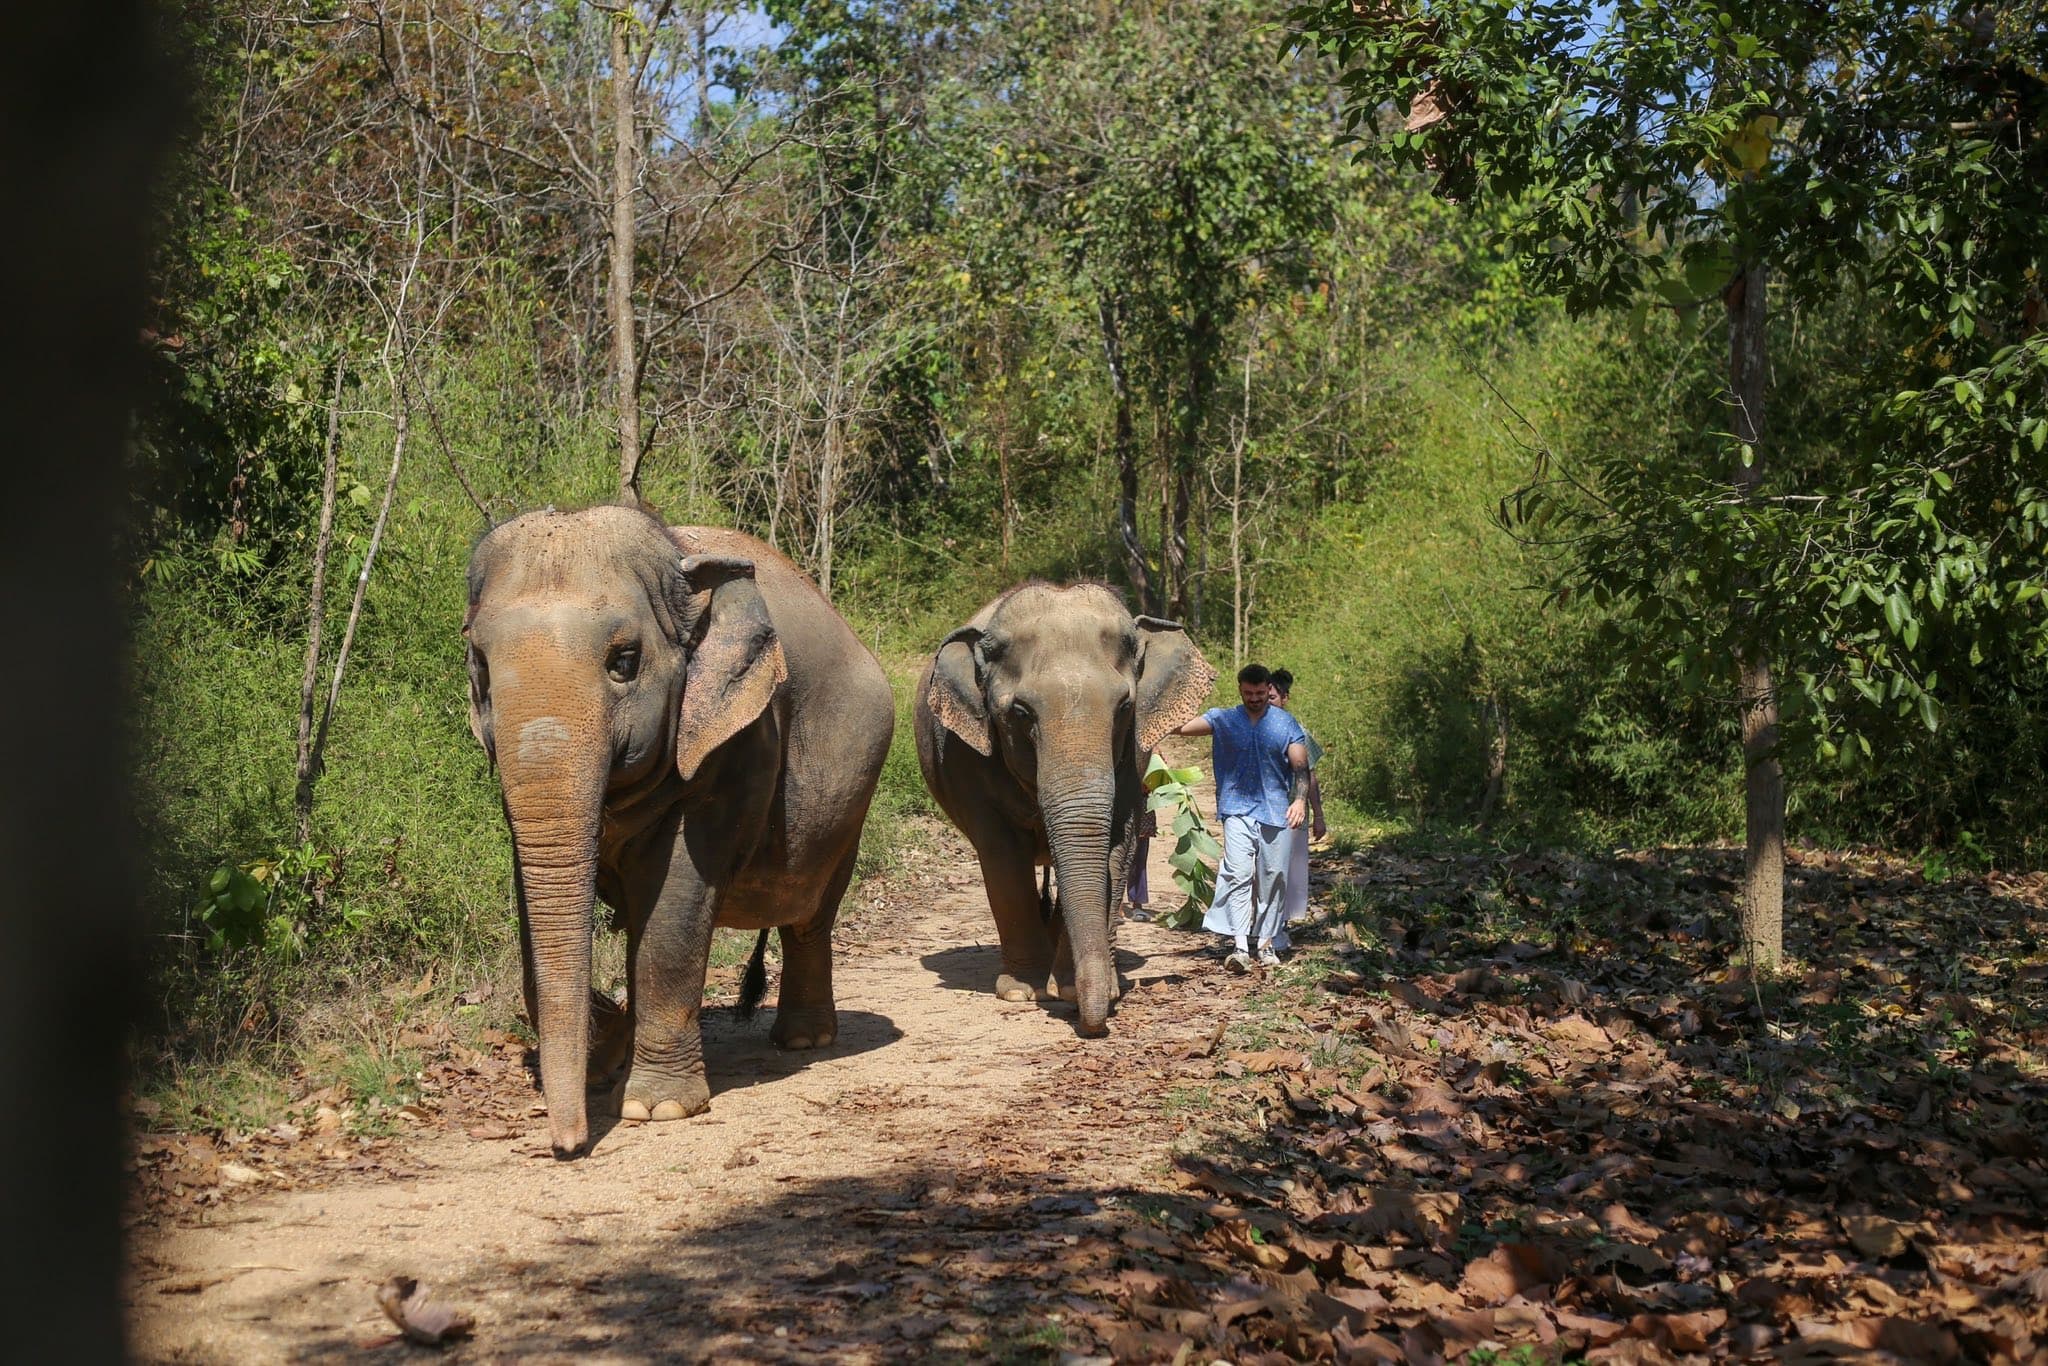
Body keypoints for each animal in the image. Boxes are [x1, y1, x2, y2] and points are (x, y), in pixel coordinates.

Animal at [463, 504, 893, 1156]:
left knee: (810, 914)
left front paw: (653, 1107)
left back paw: (803, 1041)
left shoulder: (739, 741)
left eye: (624, 661)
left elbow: (675, 903)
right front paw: (607, 1059)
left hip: (851, 799)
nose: (568, 1146)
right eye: (481, 667)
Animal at [913, 583, 1216, 1036]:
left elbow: (1116, 848)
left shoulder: (1134, 758)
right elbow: (1002, 857)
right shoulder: (967, 763)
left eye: (1124, 707)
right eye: (1021, 712)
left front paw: (1076, 989)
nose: (1095, 1024)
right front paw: (1023, 992)